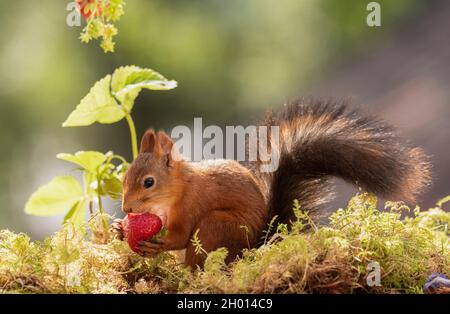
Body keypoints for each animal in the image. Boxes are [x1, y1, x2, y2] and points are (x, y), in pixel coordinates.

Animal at [110, 100, 430, 268]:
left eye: (148, 182)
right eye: (124, 177)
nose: (126, 208)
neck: (175, 191)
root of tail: (254, 246)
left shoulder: (190, 207)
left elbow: (178, 237)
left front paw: (156, 244)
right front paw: (119, 229)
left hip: (216, 225)